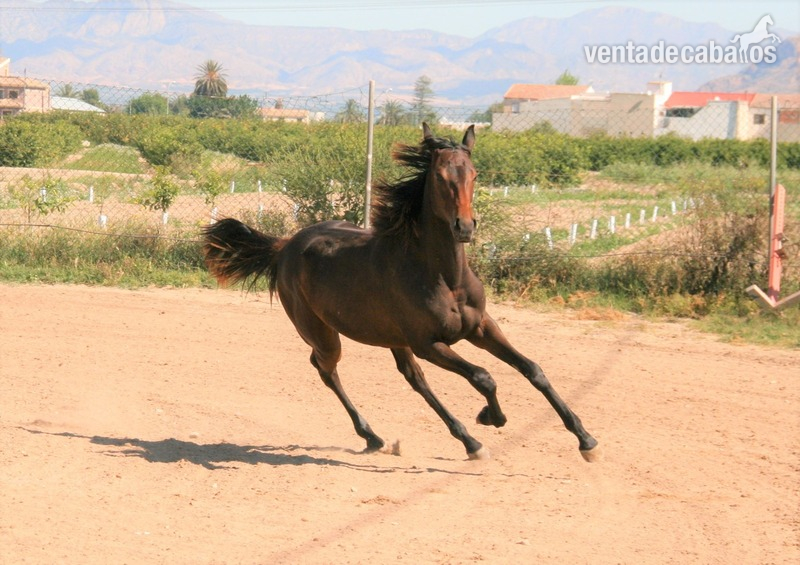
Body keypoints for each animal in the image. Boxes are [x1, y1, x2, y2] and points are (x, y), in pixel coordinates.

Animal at [202, 123, 598, 462]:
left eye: (474, 174)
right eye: (440, 176)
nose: (465, 227)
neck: (444, 277)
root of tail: (284, 246)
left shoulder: (480, 327)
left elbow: (533, 369)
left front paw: (586, 439)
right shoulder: (429, 343)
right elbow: (483, 376)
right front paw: (491, 417)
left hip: (394, 338)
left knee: (413, 379)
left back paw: (464, 441)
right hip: (324, 334)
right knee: (326, 369)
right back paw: (376, 436)